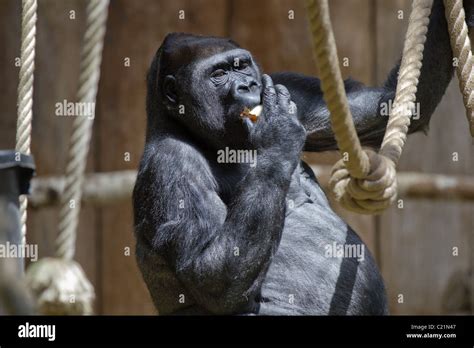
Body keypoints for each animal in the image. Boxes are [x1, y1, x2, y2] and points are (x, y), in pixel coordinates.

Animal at [132, 0, 474, 316]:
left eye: (241, 66)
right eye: (218, 74)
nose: (247, 85)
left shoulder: (288, 87)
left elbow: (383, 104)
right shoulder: (172, 164)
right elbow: (211, 274)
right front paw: (278, 131)